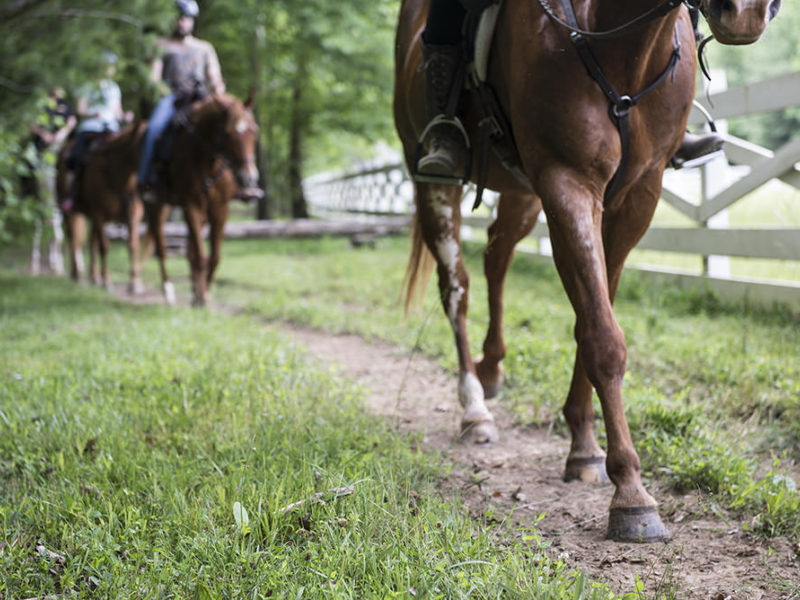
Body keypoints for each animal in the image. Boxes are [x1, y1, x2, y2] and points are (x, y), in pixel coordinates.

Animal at [55, 123, 148, 293]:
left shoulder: (133, 216)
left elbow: (133, 245)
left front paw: (135, 283)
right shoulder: (99, 215)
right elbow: (104, 246)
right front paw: (106, 281)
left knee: (91, 242)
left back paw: (94, 276)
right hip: (69, 211)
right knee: (73, 239)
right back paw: (76, 274)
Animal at [146, 92, 259, 307]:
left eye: (254, 131)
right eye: (228, 133)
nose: (249, 177)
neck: (209, 161)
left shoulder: (220, 209)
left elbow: (213, 256)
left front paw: (201, 293)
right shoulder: (192, 206)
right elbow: (200, 255)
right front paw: (203, 296)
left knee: (189, 251)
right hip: (159, 206)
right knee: (162, 248)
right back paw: (168, 291)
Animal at [395, 0, 779, 542]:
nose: (745, 13)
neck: (621, 36)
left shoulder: (637, 195)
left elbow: (594, 314)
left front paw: (583, 446)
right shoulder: (567, 183)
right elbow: (602, 335)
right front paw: (632, 494)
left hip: (521, 194)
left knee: (496, 257)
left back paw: (492, 369)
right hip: (435, 183)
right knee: (457, 289)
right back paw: (474, 409)